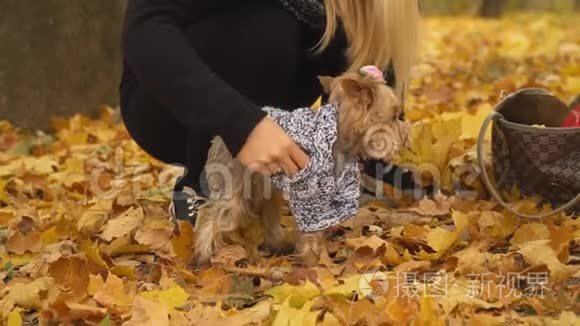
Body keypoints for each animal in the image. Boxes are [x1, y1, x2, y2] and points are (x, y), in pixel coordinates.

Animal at [193, 69, 410, 264]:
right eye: (394, 116)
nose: (406, 135)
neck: (337, 135)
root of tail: (220, 138)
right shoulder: (310, 200)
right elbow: (311, 235)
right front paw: (315, 265)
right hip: (233, 184)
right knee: (214, 214)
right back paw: (203, 255)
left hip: (265, 186)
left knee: (268, 211)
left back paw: (278, 245)